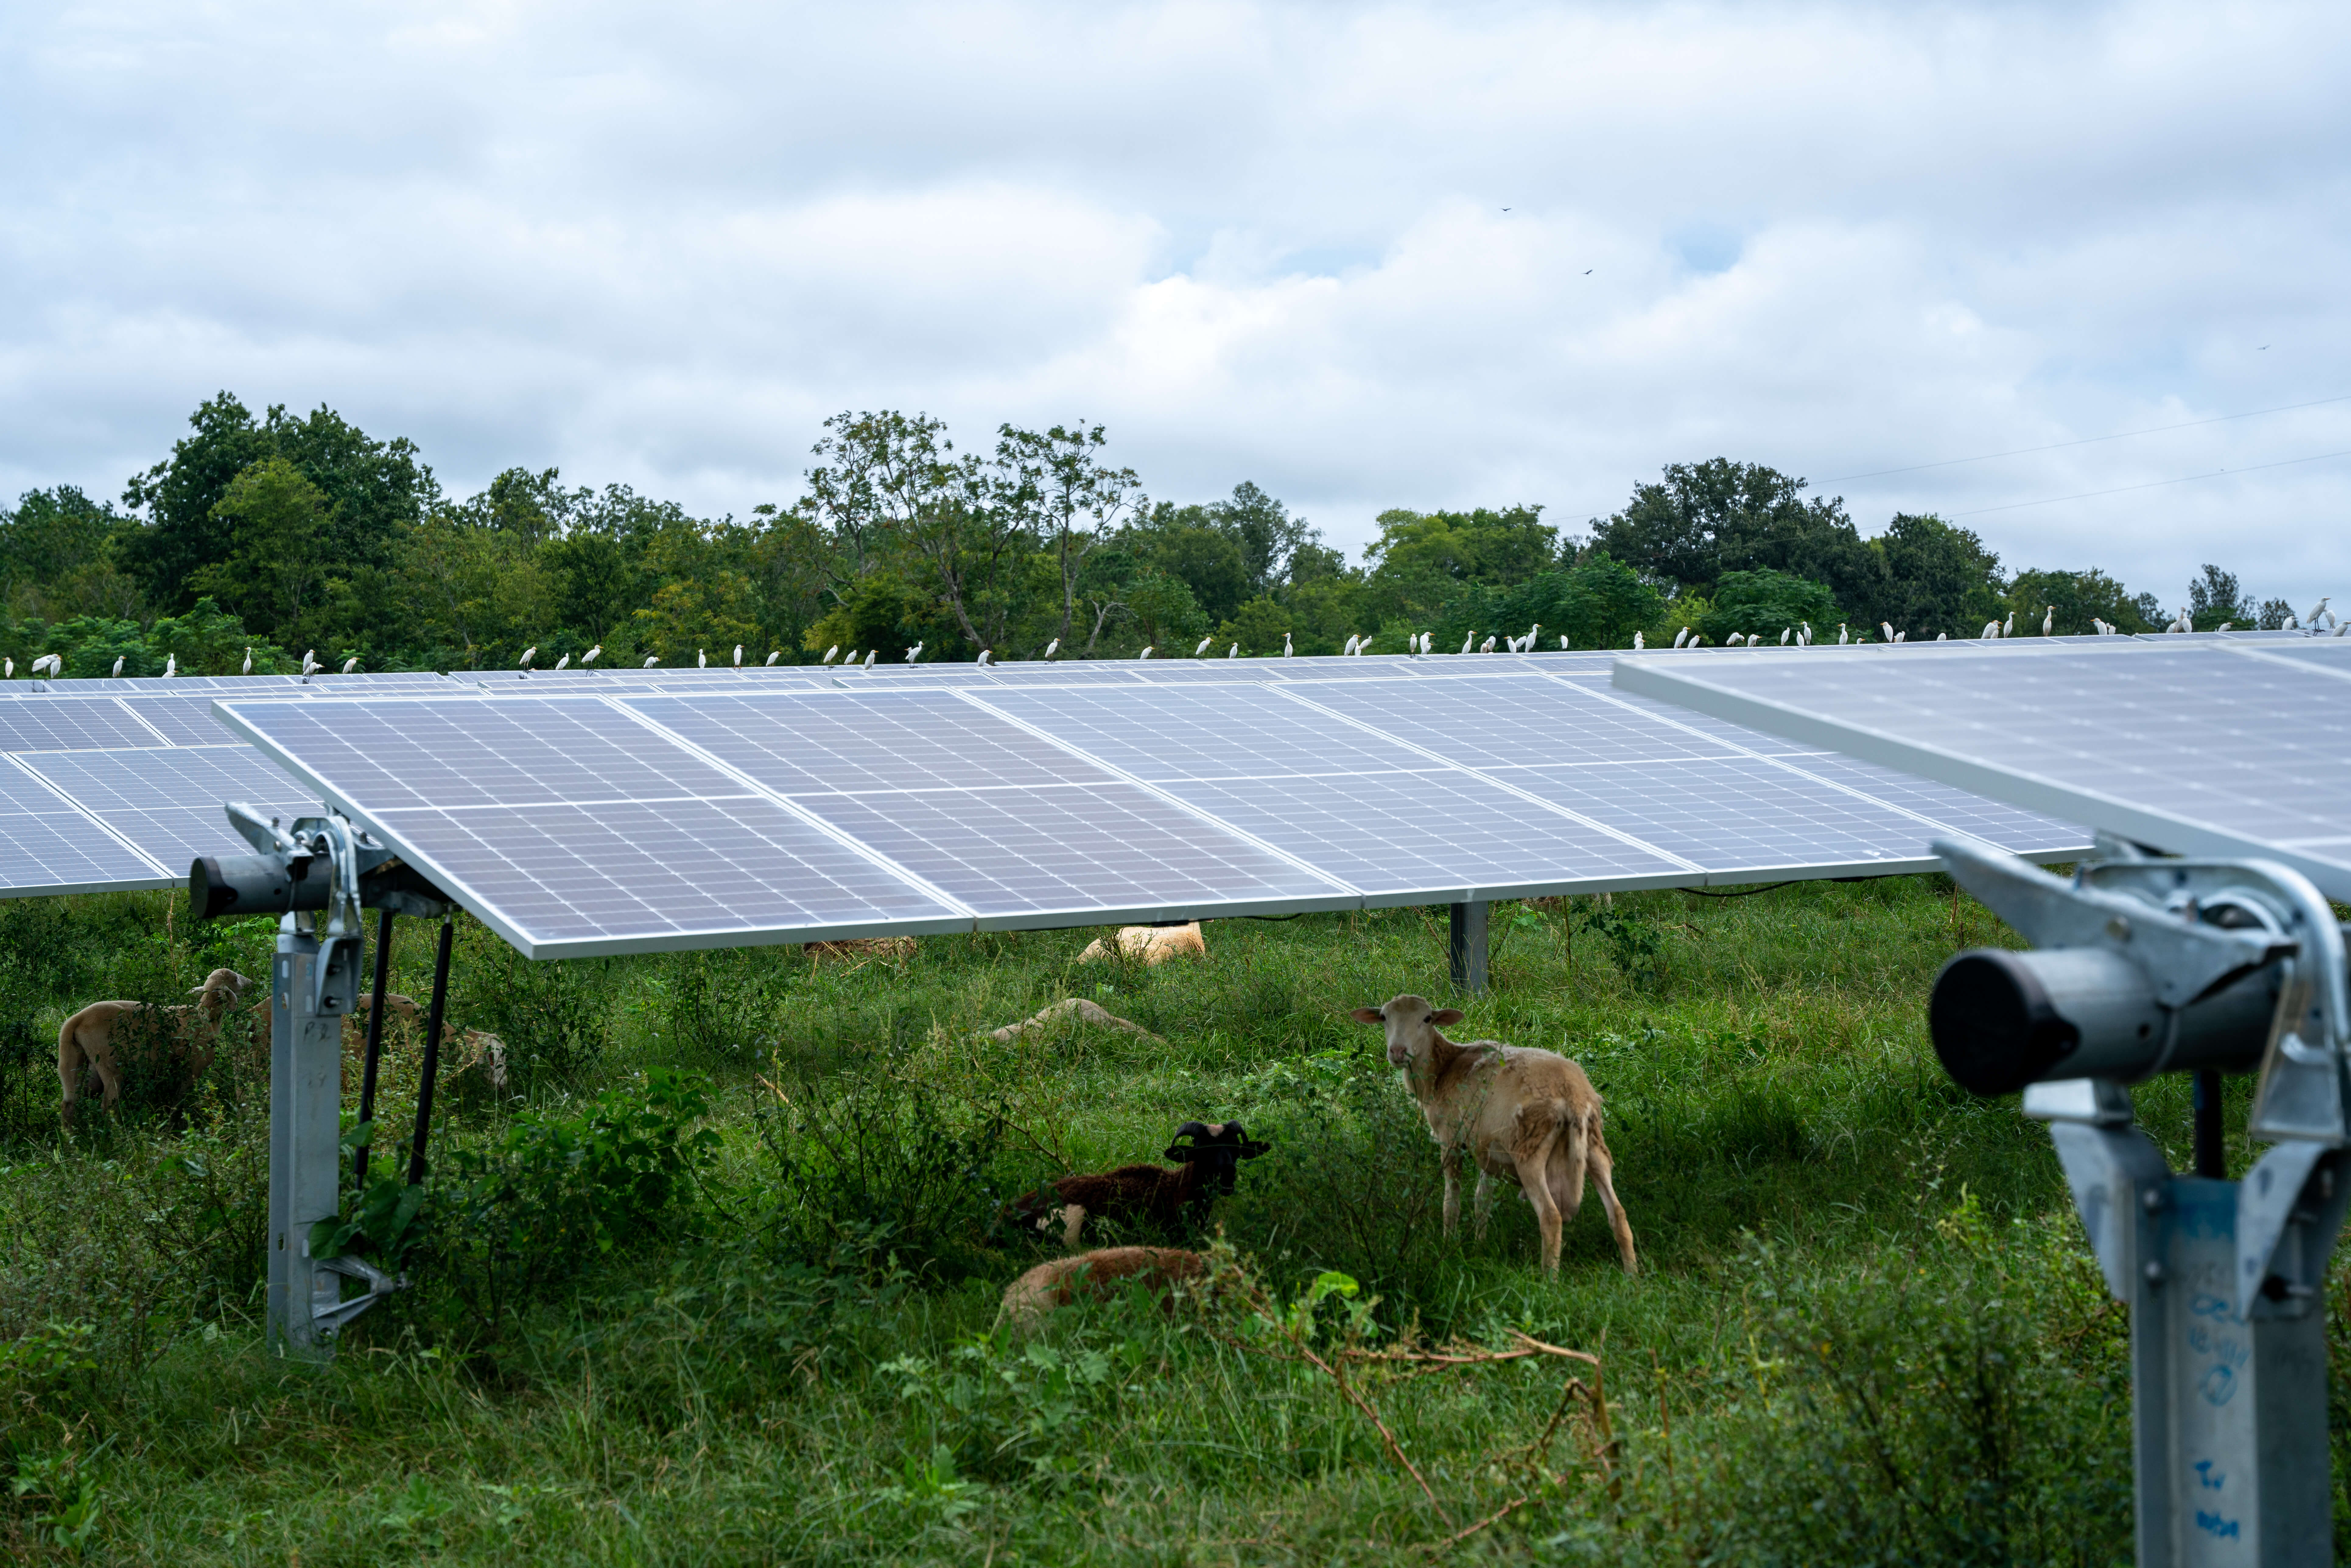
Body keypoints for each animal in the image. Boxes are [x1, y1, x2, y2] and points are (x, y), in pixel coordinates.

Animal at [59, 968, 253, 1128]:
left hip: (78, 1059)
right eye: (236, 979)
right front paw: (171, 1126)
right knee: (109, 1106)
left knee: (70, 1103)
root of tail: (77, 1020)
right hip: (108, 1061)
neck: (206, 1017)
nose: (251, 983)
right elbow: (178, 1103)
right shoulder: (194, 1069)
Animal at [1363, 1001, 1636, 1279]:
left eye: (1427, 1019)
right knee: (1618, 1213)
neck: (1442, 1070)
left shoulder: (1450, 1138)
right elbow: (1482, 1199)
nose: (1398, 1051)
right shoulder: (1489, 1148)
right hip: (1594, 1145)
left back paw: (1548, 1280)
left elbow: (1452, 1199)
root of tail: (1574, 1097)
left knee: (1551, 1217)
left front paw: (1448, 1245)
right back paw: (1632, 1277)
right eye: (1384, 1018)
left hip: (1530, 1151)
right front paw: (1479, 1247)